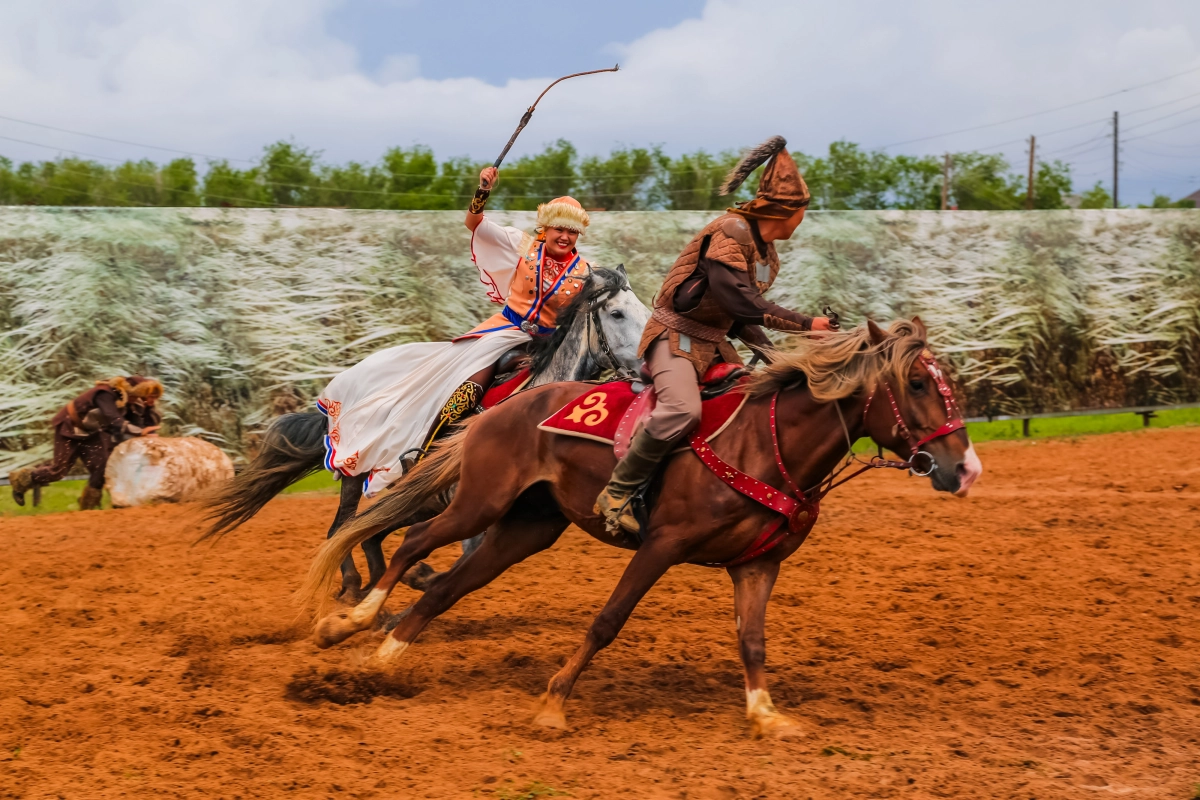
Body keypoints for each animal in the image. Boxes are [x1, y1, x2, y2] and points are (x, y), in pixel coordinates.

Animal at [295, 319, 979, 738]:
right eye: (917, 382)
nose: (964, 468)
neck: (766, 443)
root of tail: (501, 408)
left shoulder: (759, 564)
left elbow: (752, 641)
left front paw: (766, 715)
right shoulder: (661, 545)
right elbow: (608, 621)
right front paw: (553, 704)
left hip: (527, 529)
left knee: (445, 587)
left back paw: (382, 659)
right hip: (481, 504)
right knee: (413, 543)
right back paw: (348, 624)